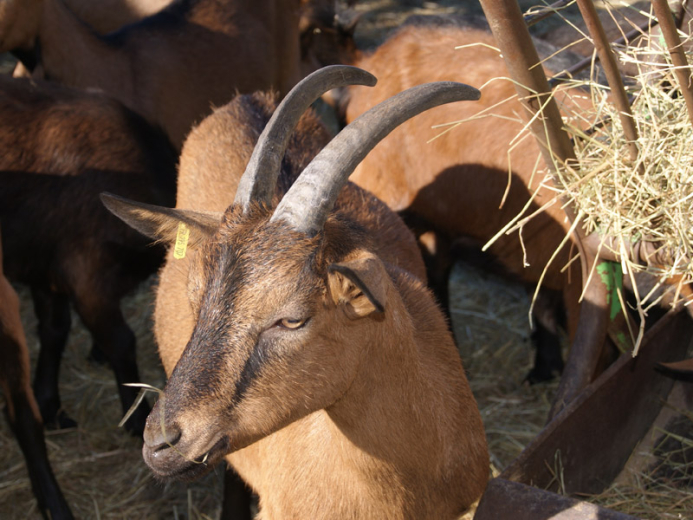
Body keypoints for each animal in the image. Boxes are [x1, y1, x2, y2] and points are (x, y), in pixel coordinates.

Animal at [0, 74, 177, 434]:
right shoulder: (88, 279)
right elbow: (122, 343)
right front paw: (136, 418)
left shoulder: (48, 272)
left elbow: (54, 330)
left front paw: (49, 406)